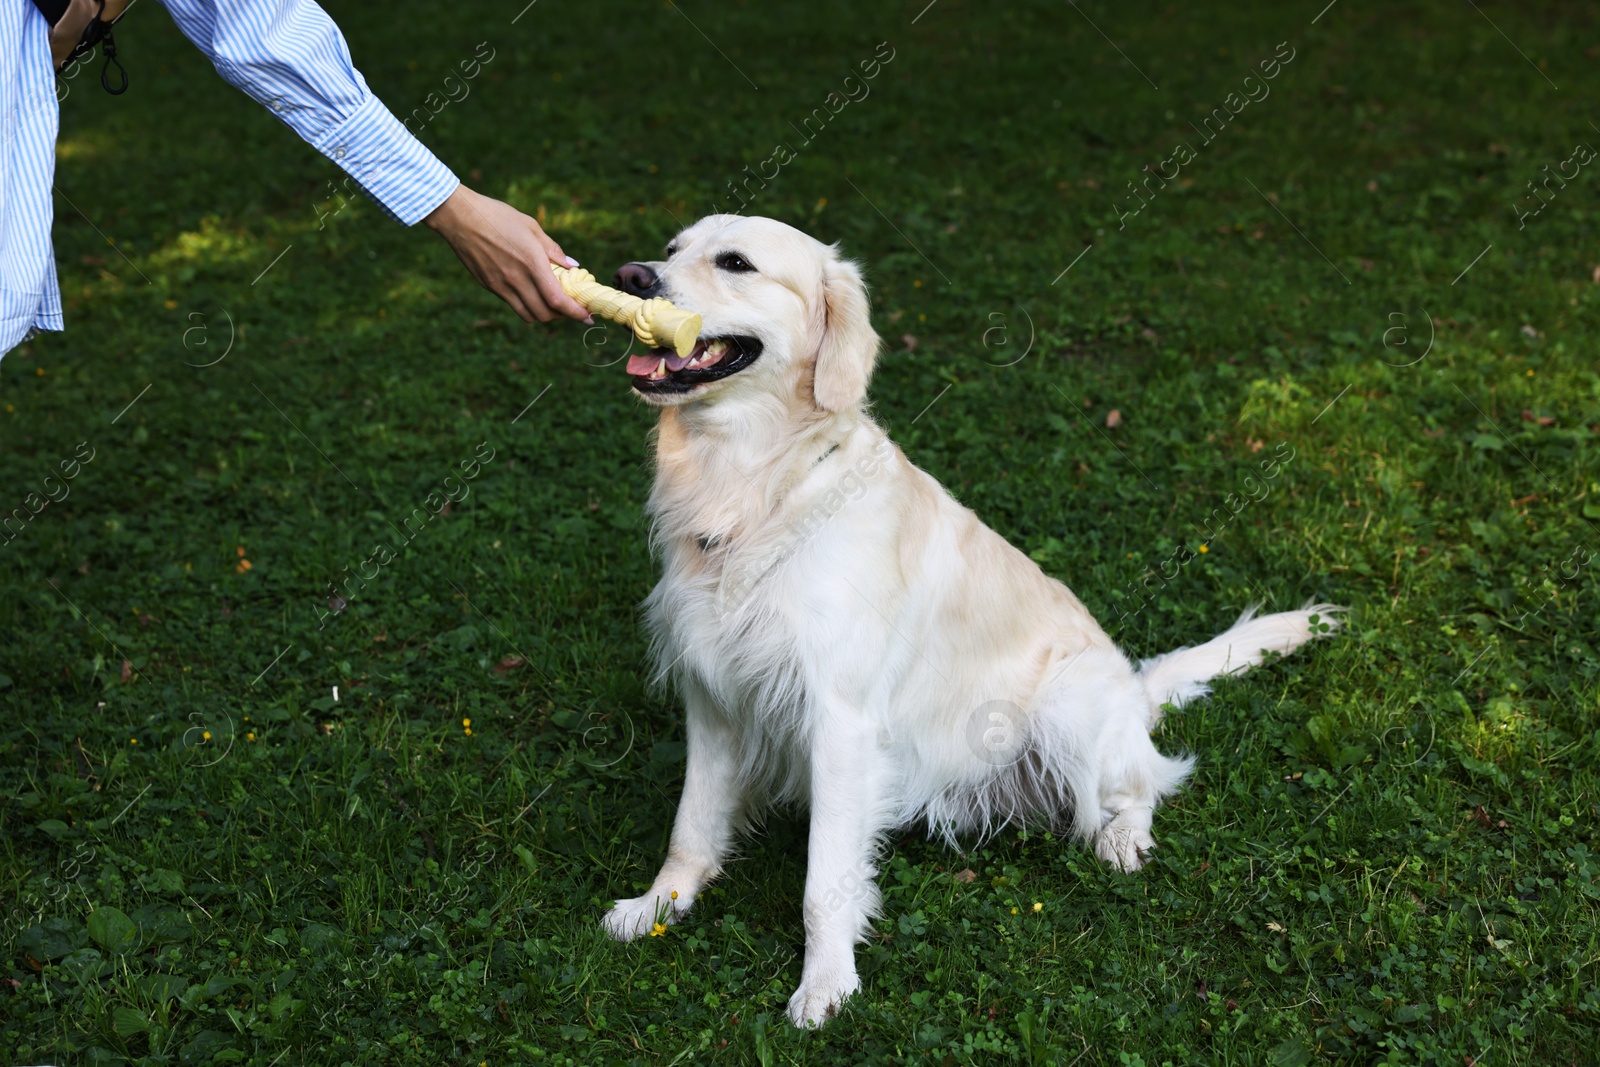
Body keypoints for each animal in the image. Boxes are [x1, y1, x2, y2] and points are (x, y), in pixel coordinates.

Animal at [595, 214, 1344, 1023]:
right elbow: (691, 825)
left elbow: (825, 880)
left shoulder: (840, 717)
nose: (633, 276)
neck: (756, 486)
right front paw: (659, 904)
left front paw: (825, 982)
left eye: (736, 263)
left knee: (1145, 782)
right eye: (672, 250)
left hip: (1070, 699)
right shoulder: (713, 695)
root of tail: (1133, 690)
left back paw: (1122, 841)